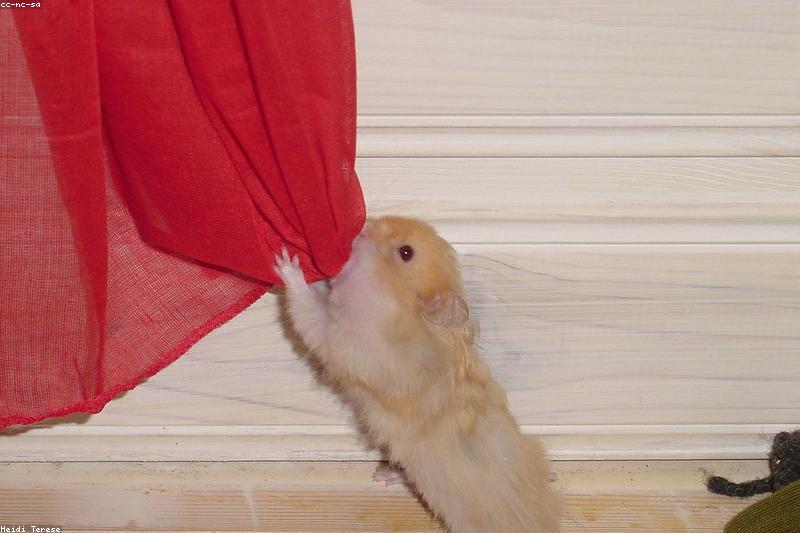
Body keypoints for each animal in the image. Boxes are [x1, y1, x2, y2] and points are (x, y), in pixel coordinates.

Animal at [275, 216, 560, 533]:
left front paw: (287, 263)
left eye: (406, 253)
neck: (398, 307)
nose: (365, 226)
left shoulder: (338, 340)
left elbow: (308, 310)